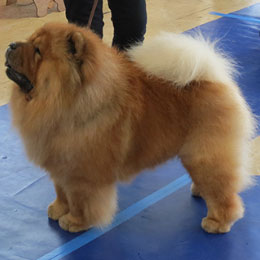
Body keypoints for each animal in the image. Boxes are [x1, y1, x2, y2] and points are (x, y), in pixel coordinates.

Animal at [5, 23, 255, 233]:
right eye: (29, 41)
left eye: (38, 51)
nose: (10, 45)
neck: (64, 102)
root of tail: (214, 78)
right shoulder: (59, 163)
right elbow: (60, 191)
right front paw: (57, 209)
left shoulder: (81, 173)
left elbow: (79, 201)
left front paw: (75, 222)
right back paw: (200, 191)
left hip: (204, 155)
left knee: (224, 192)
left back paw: (217, 222)